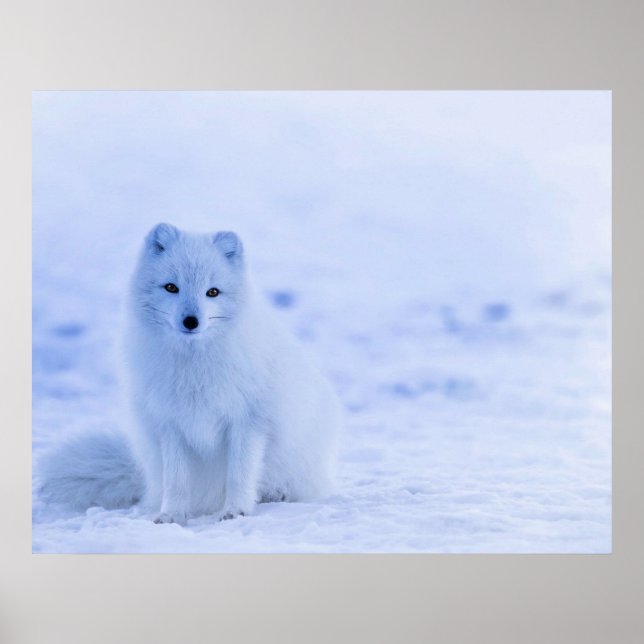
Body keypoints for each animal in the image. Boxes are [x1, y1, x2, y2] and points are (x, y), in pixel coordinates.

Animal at [38, 223, 341, 525]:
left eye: (213, 292)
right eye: (171, 287)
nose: (191, 321)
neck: (194, 367)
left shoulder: (248, 422)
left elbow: (239, 474)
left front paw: (236, 511)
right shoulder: (171, 424)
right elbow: (176, 481)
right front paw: (171, 515)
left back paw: (276, 494)